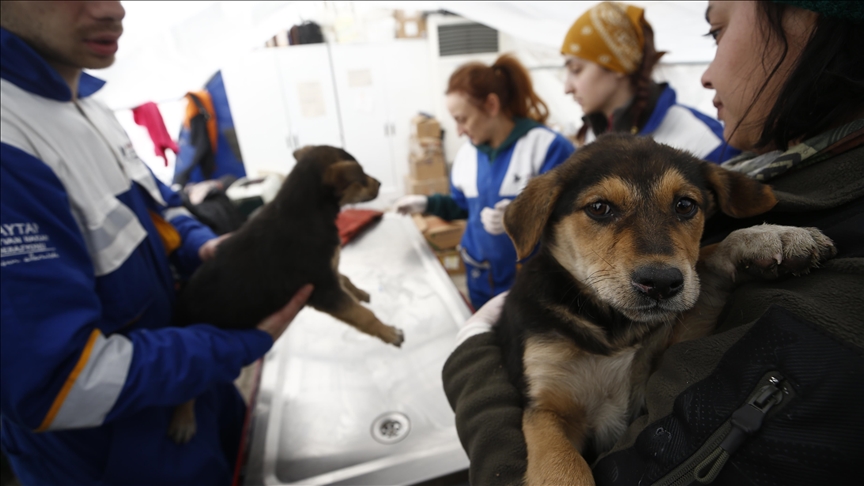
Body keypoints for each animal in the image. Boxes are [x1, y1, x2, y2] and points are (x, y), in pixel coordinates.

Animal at [169, 144, 404, 444]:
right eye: (360, 177)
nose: (380, 184)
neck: (305, 207)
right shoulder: (323, 290)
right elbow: (363, 315)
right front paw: (389, 332)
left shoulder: (325, 273)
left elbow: (345, 278)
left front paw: (359, 291)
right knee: (188, 387)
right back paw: (183, 420)